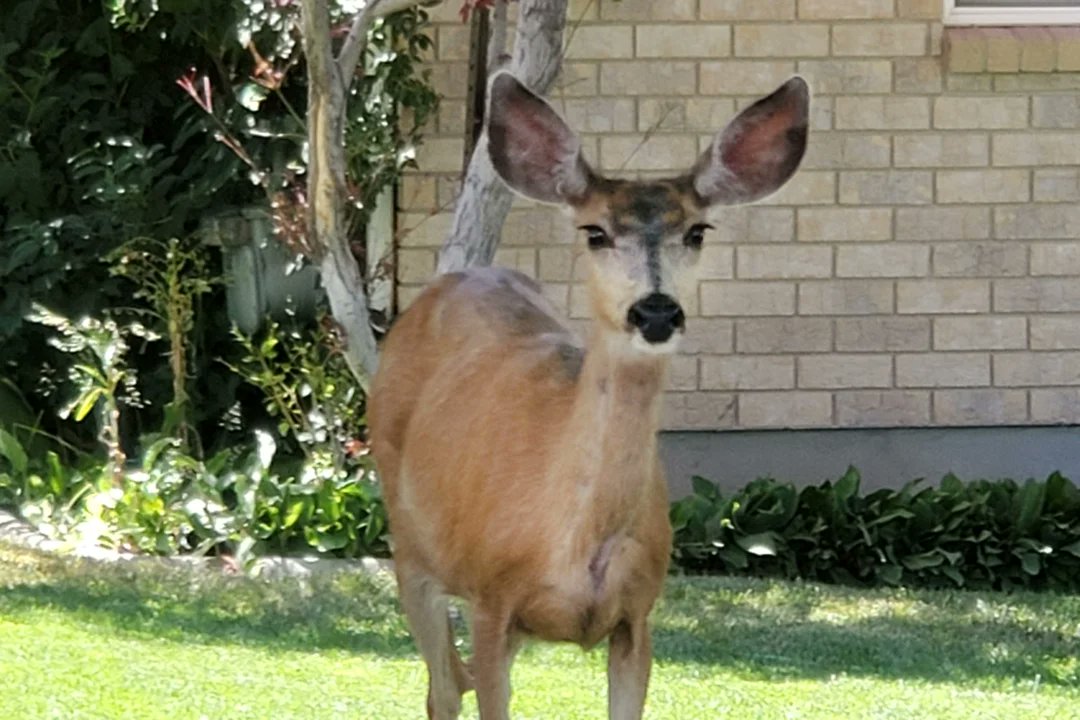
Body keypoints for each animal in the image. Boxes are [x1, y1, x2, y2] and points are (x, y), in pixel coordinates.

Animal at [368, 71, 809, 720]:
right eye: (596, 232)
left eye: (696, 231)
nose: (656, 311)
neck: (574, 541)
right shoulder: (491, 597)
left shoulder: (637, 616)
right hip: (410, 546)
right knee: (443, 688)